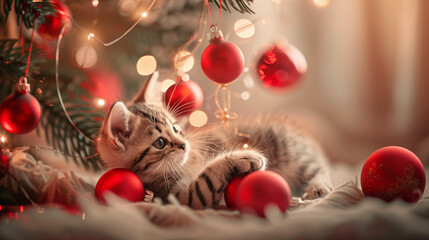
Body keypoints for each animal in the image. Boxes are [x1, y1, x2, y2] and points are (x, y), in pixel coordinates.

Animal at [97, 72, 332, 208]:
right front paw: (244, 157)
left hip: (289, 150)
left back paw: (318, 186)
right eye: (160, 143)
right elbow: (209, 175)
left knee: (321, 167)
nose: (184, 145)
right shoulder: (182, 197)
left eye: (175, 128)